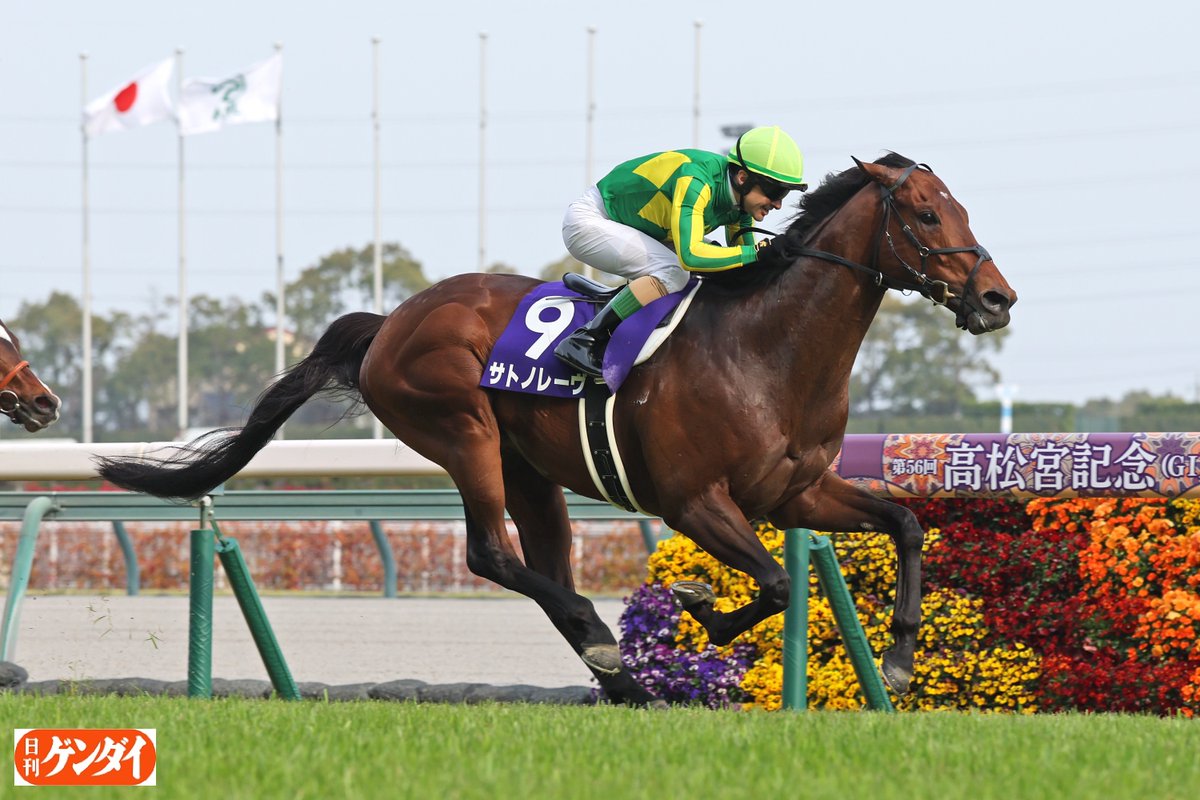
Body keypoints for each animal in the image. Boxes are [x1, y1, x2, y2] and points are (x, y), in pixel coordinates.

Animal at [97, 153, 1016, 705]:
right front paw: (698, 606)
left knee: (542, 560)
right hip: (459, 428)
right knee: (492, 555)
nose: (996, 297)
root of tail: (393, 319)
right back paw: (610, 655)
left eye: (963, 207)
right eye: (926, 217)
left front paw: (898, 659)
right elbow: (776, 584)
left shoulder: (797, 491)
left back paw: (618, 677)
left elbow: (903, 523)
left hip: (530, 468)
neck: (766, 350)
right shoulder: (690, 500)